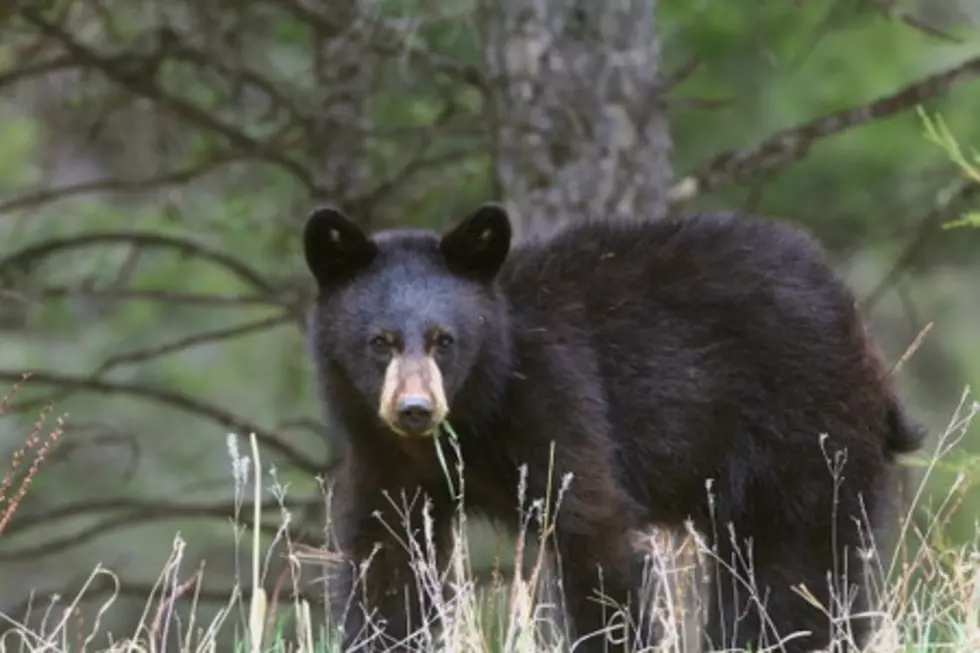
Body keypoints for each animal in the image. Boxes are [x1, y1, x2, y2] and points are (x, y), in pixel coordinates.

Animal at [302, 201, 924, 648]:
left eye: (443, 340)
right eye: (380, 341)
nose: (415, 409)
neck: (479, 411)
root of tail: (853, 318)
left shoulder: (560, 401)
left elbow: (594, 535)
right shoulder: (385, 458)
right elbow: (388, 560)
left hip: (802, 429)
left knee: (795, 564)